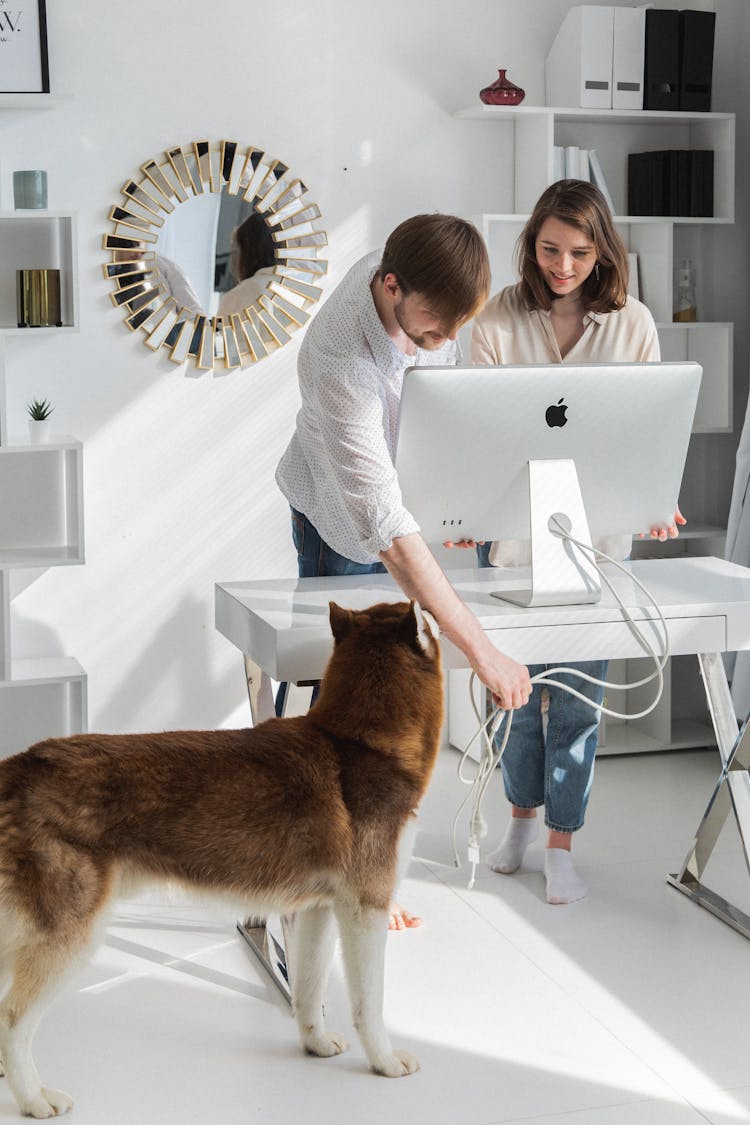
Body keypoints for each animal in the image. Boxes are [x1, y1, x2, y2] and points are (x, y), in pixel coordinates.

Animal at [0, 603, 445, 1111]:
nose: (437, 605)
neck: (359, 743)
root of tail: (20, 766)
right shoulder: (365, 909)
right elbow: (370, 1003)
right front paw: (385, 1061)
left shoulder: (316, 910)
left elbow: (308, 991)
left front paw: (314, 1043)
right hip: (68, 937)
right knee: (12, 1023)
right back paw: (33, 1098)